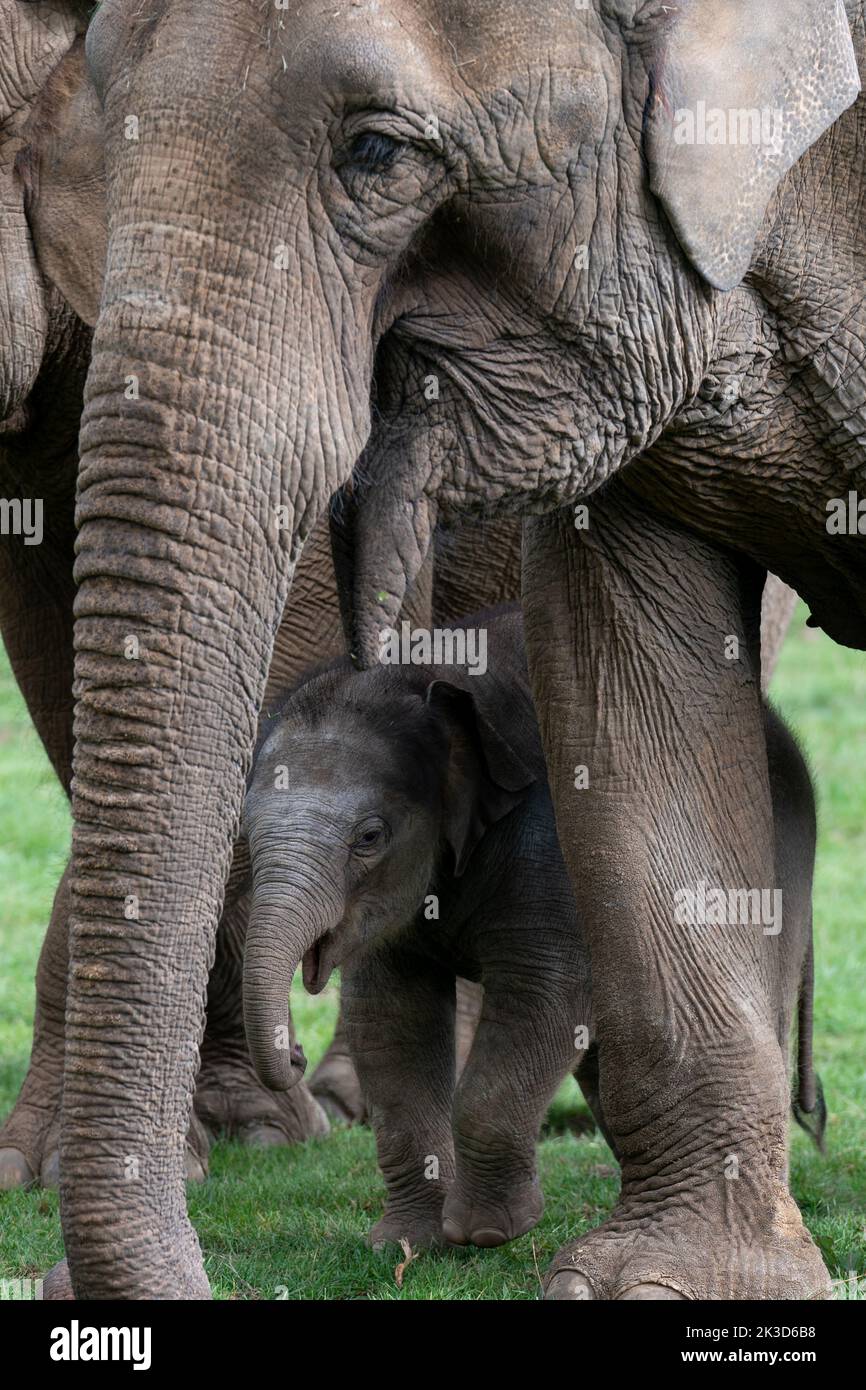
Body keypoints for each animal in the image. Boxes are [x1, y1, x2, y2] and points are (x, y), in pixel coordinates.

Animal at [242, 603, 824, 1254]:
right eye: (244, 833)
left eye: (369, 837)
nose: (294, 1055)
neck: (425, 677)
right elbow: (391, 1021)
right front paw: (406, 1244)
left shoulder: (553, 853)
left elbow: (544, 996)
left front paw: (487, 1232)